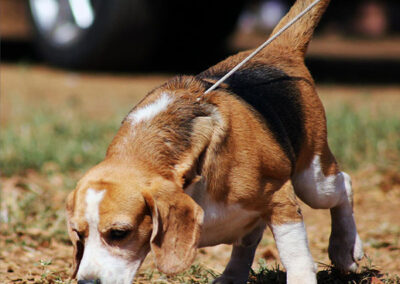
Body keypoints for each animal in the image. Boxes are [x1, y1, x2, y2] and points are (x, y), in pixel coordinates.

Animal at [68, 1, 362, 282]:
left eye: (119, 233)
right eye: (78, 234)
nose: (87, 282)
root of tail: (278, 50)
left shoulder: (281, 199)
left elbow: (295, 256)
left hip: (312, 180)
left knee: (343, 184)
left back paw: (345, 248)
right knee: (248, 240)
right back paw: (232, 275)